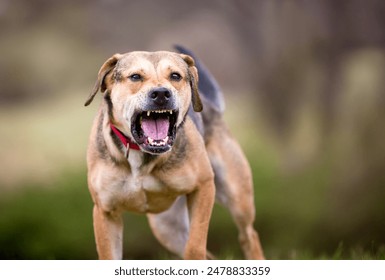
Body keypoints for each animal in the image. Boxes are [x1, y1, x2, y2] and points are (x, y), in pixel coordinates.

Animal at [84, 46, 264, 260]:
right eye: (135, 77)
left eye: (175, 76)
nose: (161, 93)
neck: (141, 156)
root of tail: (213, 108)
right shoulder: (105, 212)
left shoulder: (204, 187)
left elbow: (195, 247)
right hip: (167, 227)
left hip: (238, 198)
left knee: (248, 235)